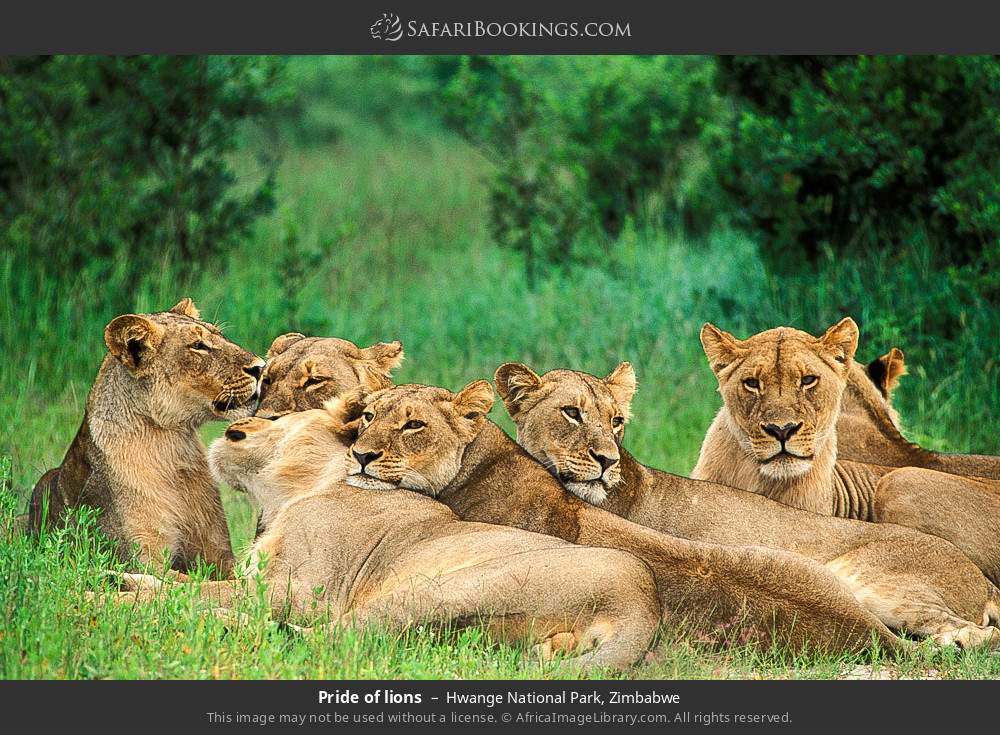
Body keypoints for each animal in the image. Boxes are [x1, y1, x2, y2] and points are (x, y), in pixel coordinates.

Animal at [27, 299, 263, 576]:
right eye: (198, 346)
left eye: (220, 336)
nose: (260, 367)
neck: (173, 446)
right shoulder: (142, 561)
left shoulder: (219, 555)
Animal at [115, 405, 663, 674]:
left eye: (275, 418)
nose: (236, 427)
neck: (307, 485)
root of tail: (644, 603)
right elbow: (189, 582)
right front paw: (135, 579)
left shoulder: (302, 591)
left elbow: (202, 589)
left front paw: (119, 591)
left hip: (440, 589)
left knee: (333, 639)